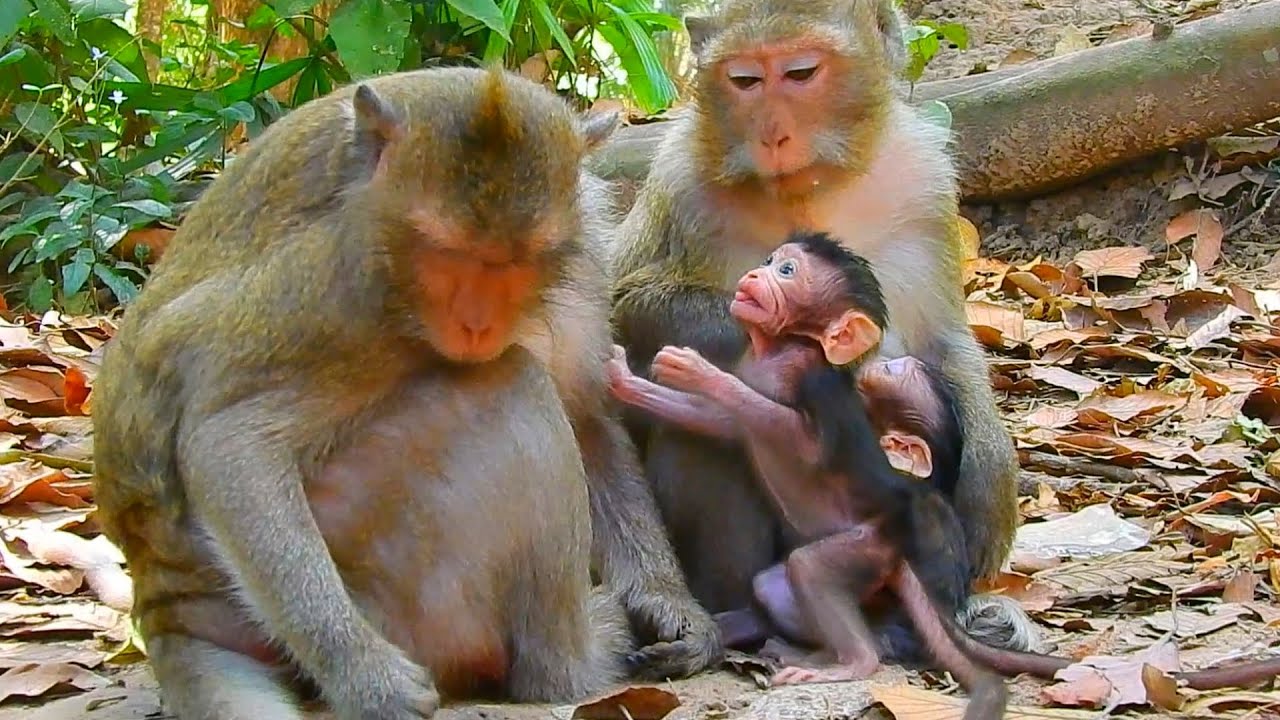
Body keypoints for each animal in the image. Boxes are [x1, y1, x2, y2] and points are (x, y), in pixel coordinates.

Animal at [89, 66, 720, 720]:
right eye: (447, 253)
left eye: (520, 260)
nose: (477, 324)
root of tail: (166, 600)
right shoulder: (342, 284)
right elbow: (229, 439)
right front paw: (368, 678)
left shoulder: (584, 255)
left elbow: (587, 416)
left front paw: (669, 604)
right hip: (392, 575)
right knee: (513, 385)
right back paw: (575, 658)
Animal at [608, 0, 1031, 658]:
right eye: (744, 80)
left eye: (801, 73)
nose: (772, 134)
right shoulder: (680, 183)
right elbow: (630, 304)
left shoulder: (923, 183)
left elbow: (944, 341)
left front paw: (986, 459)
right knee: (702, 436)